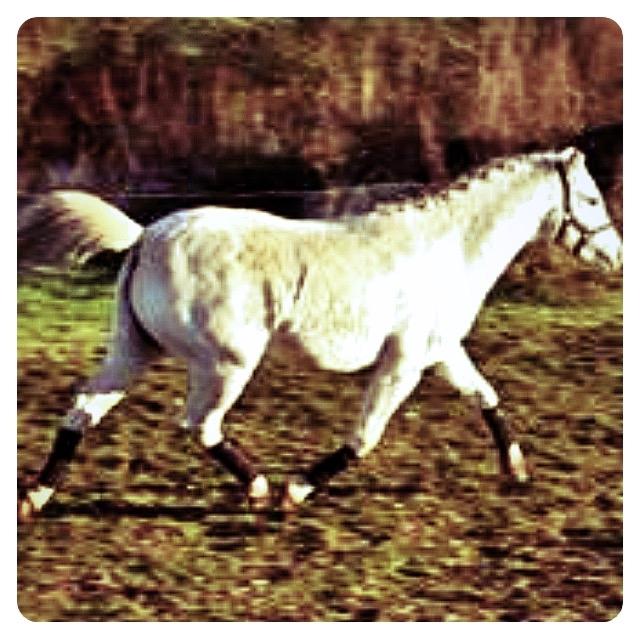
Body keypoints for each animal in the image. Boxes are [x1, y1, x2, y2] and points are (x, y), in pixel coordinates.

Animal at [17, 147, 622, 519]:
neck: (446, 249)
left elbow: (485, 397)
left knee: (83, 411)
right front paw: (296, 491)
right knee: (199, 425)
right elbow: (366, 436)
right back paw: (262, 488)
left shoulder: (441, 352)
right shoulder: (403, 364)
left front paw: (516, 470)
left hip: (134, 351)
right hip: (226, 365)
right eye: (591, 198)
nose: (616, 257)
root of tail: (146, 236)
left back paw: (36, 497)